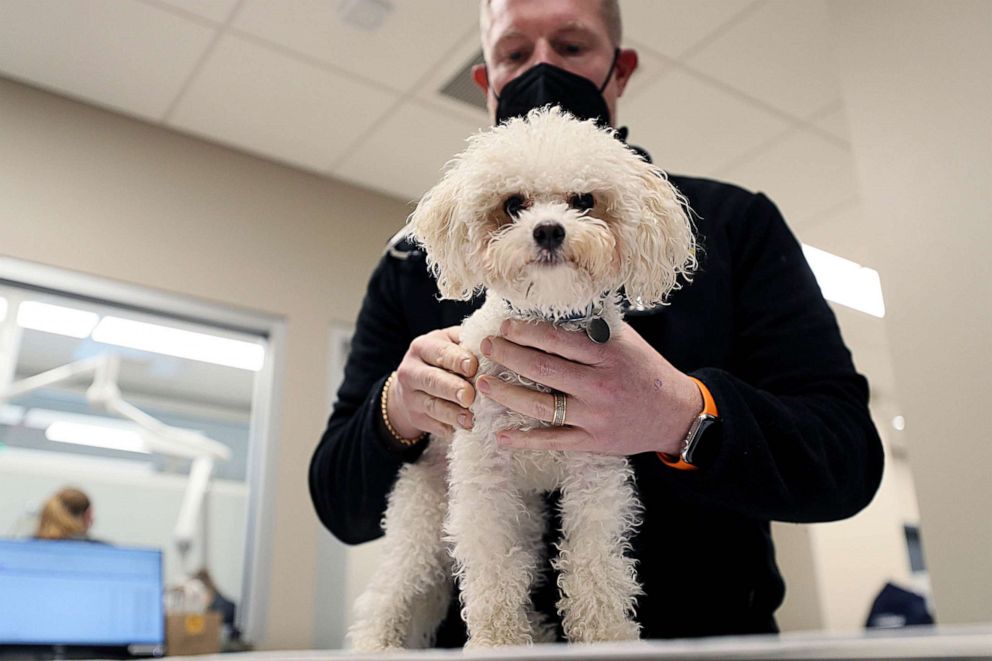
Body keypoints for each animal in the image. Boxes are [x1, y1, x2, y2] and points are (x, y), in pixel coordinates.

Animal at [352, 108, 692, 648]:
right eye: (513, 204)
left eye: (584, 201)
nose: (549, 230)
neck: (546, 321)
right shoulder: (485, 476)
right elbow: (493, 567)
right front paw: (497, 641)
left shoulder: (595, 471)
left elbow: (595, 562)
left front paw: (607, 635)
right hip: (425, 519)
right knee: (388, 591)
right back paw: (375, 643)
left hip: (527, 514)